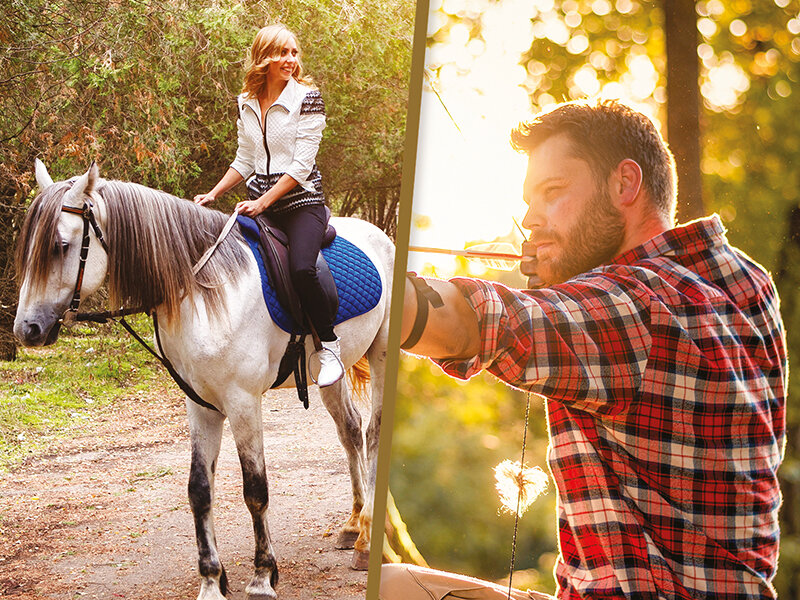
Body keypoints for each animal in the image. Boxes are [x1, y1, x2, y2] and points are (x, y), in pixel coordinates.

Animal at [13, 161, 394, 600]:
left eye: (60, 246)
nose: (26, 330)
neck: (203, 289)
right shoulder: (200, 403)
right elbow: (199, 489)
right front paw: (212, 580)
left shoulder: (242, 402)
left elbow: (255, 490)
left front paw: (262, 576)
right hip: (328, 372)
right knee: (349, 430)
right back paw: (353, 526)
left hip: (380, 354)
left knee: (374, 432)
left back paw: (368, 540)